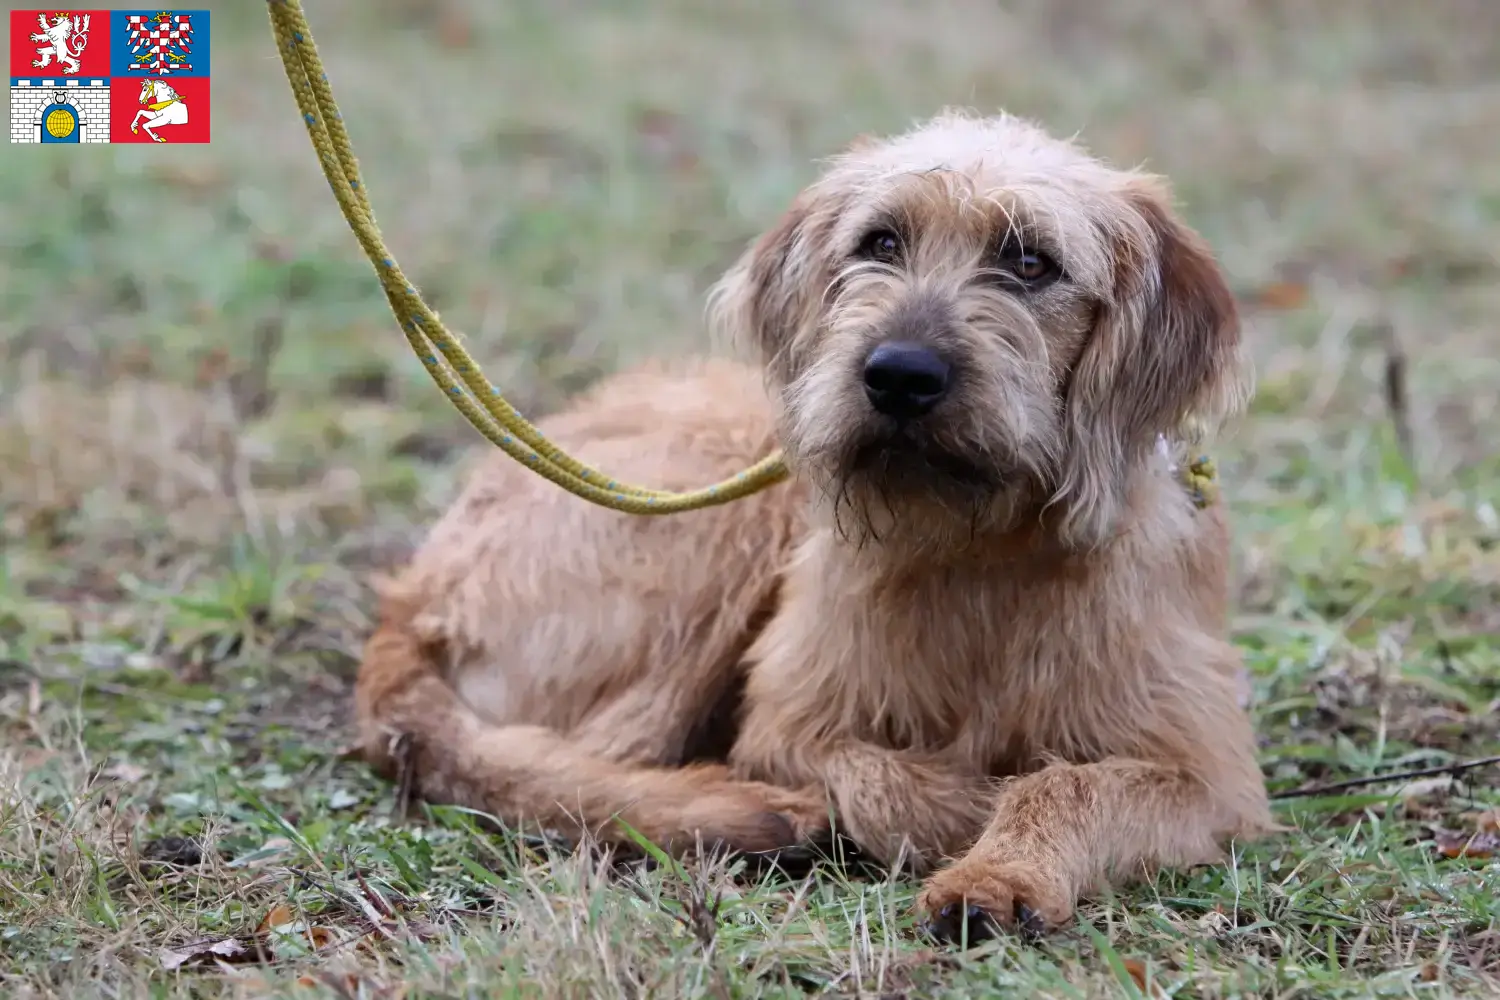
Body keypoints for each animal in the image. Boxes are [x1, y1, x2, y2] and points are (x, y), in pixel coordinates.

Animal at [354, 109, 1278, 941]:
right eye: (881, 243)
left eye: (1029, 260)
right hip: (728, 513)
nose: (899, 374)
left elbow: (1071, 783)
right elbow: (882, 777)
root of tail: (409, 597)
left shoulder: (1207, 772)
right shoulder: (786, 725)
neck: (979, 544)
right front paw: (969, 811)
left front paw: (999, 867)